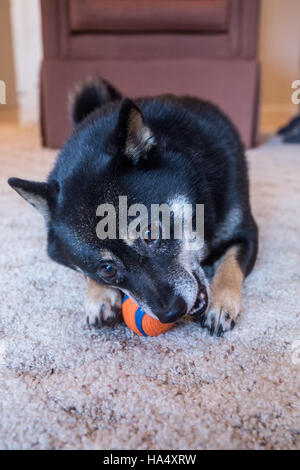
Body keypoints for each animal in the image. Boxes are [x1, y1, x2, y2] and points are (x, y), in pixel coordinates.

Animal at [8, 79, 258, 336]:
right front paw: (100, 297)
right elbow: (86, 274)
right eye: (107, 270)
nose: (171, 313)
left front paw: (221, 304)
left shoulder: (246, 234)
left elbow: (230, 267)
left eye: (150, 233)